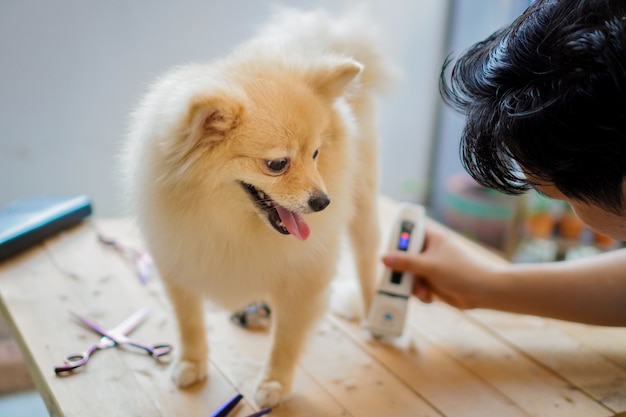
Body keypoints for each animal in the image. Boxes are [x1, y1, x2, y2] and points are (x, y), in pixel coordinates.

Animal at [124, 8, 392, 408]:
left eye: (315, 154)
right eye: (277, 164)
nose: (323, 202)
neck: (231, 224)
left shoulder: (304, 278)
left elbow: (287, 339)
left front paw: (274, 384)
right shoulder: (179, 262)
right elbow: (189, 321)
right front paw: (191, 362)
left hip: (362, 203)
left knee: (367, 256)